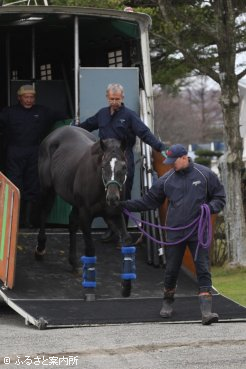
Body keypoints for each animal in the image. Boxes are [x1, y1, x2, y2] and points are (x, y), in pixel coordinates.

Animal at [35, 125, 132, 298]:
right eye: (104, 166)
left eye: (124, 167)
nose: (112, 198)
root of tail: (55, 133)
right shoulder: (86, 215)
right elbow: (90, 248)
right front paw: (90, 291)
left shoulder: (113, 214)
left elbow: (126, 240)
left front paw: (126, 286)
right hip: (48, 190)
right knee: (44, 212)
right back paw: (40, 249)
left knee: (72, 223)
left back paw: (73, 263)